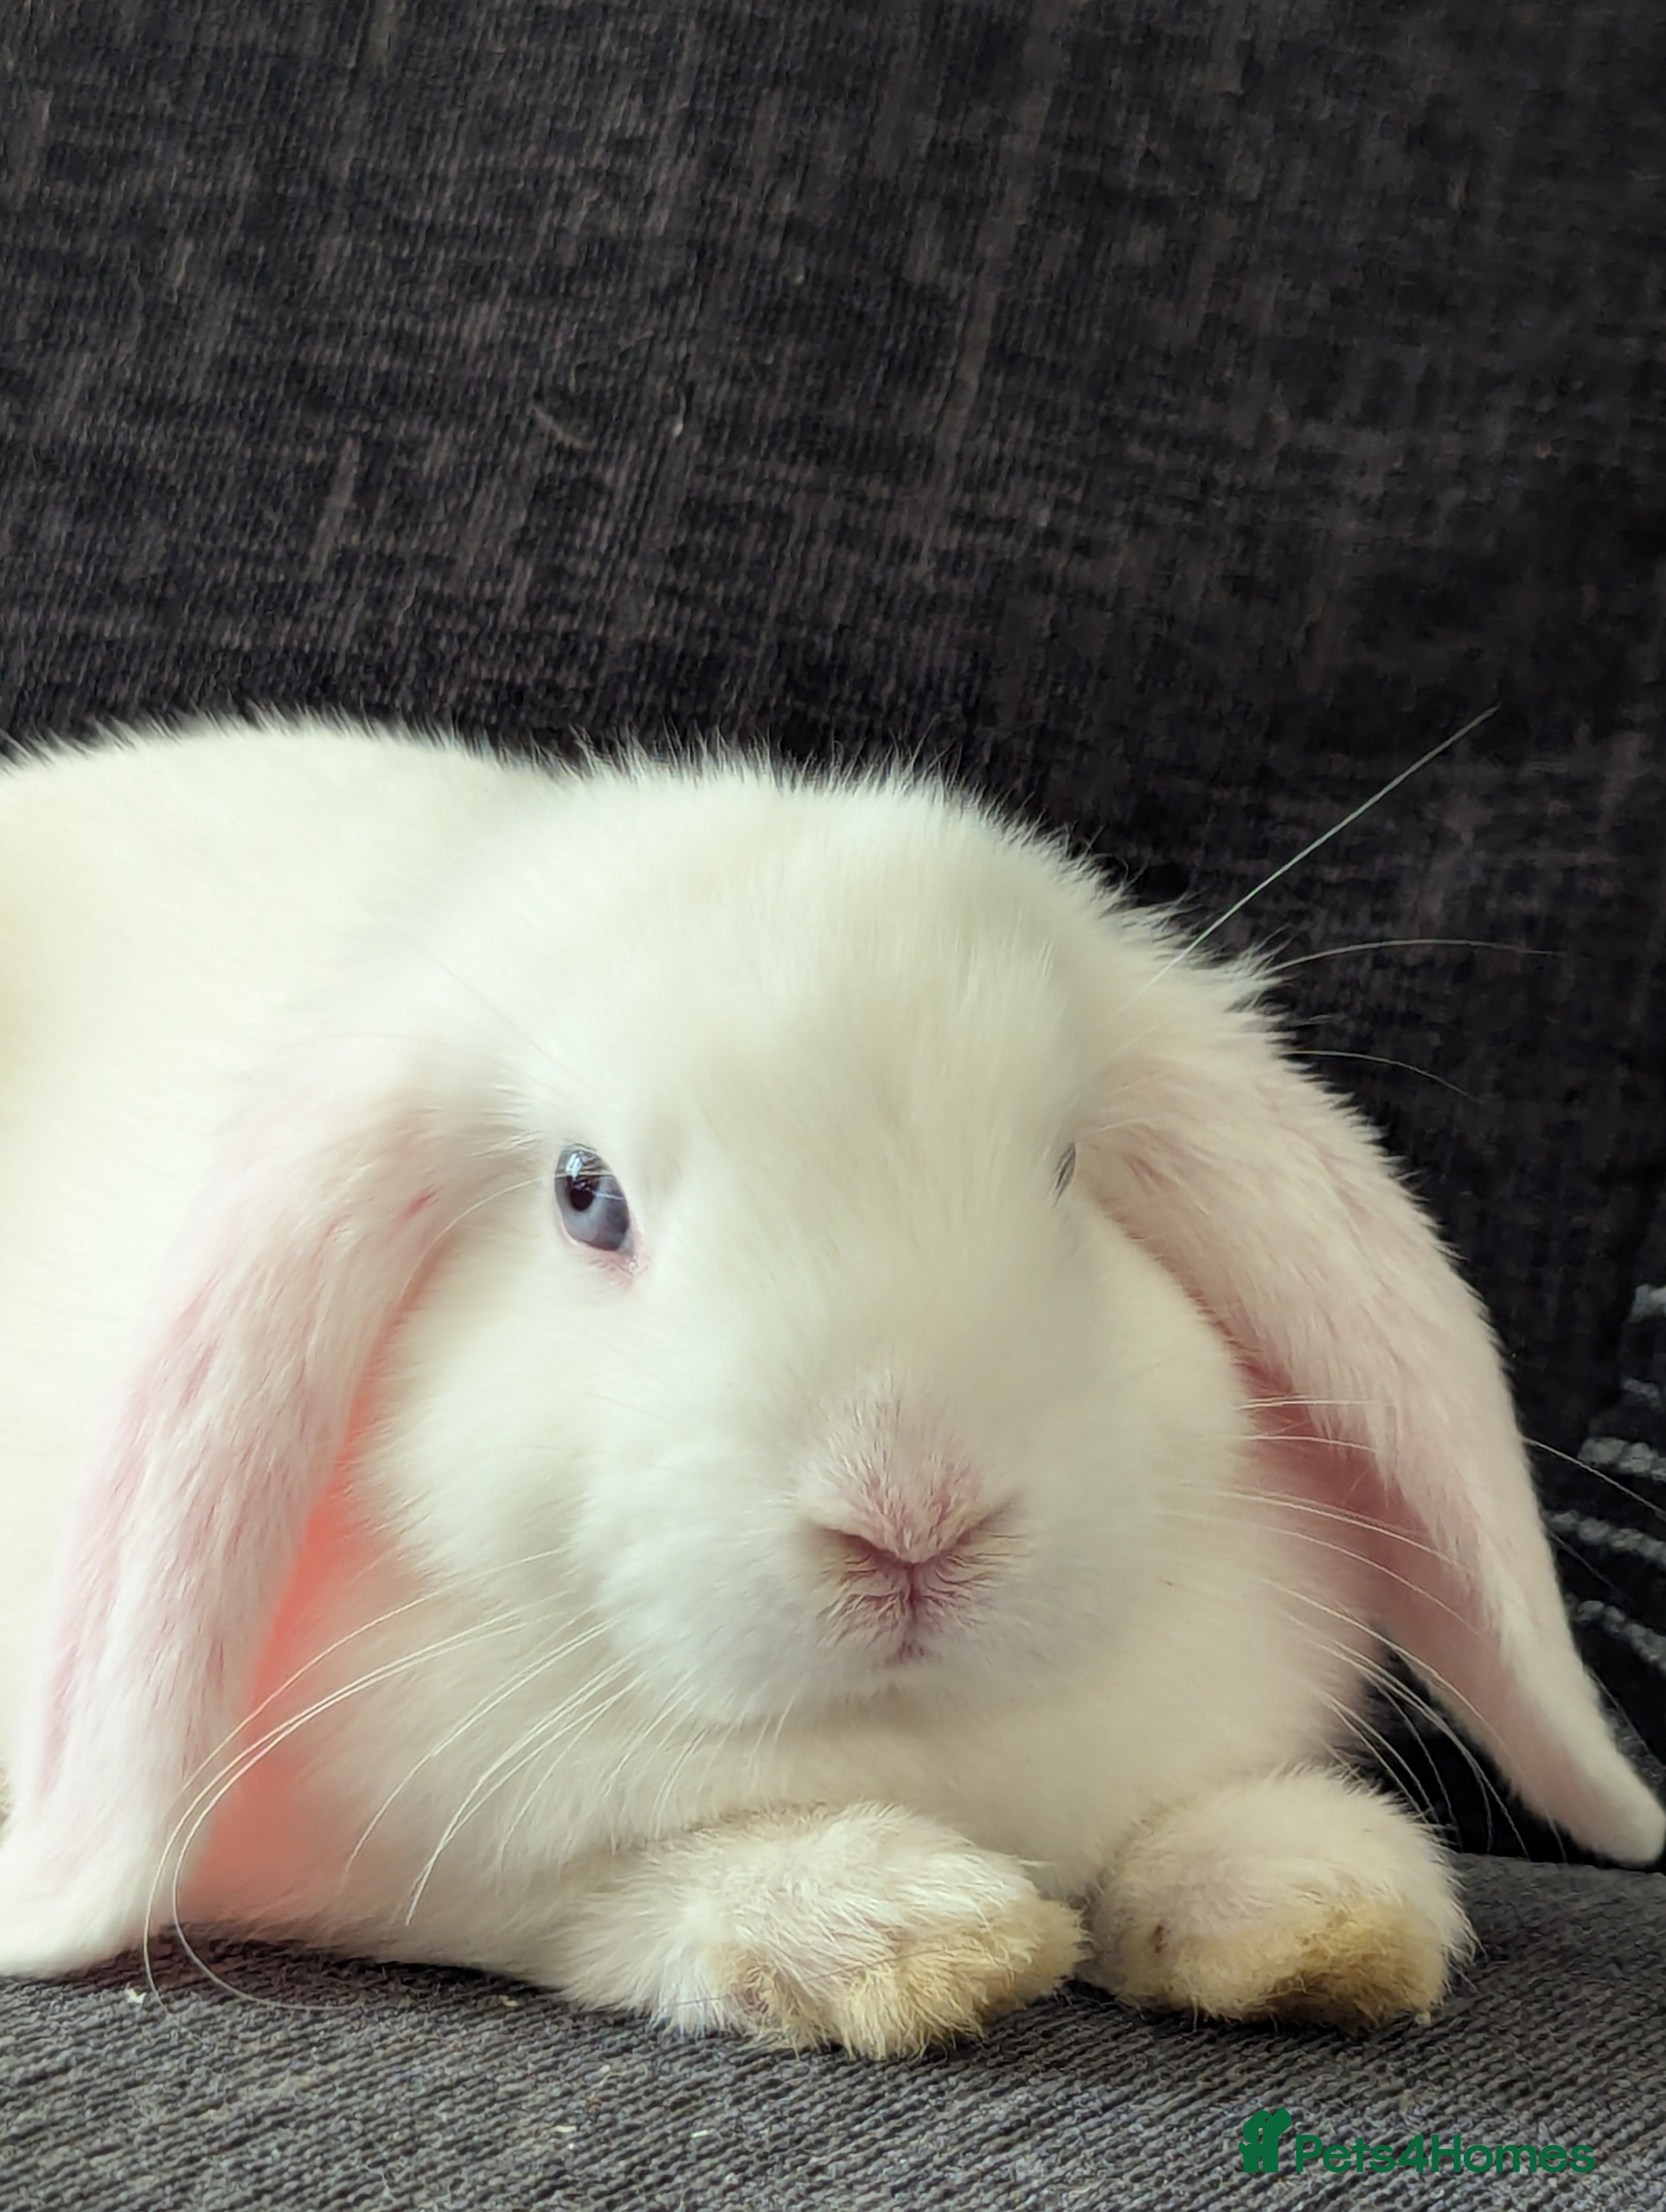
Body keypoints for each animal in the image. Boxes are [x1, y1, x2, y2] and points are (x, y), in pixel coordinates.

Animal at [0, 714, 1657, 2057]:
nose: (913, 1516)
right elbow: (597, 1895)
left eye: (1065, 1171)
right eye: (585, 1195)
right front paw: (902, 1929)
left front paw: (1316, 1900)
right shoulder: (404, 1856)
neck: (903, 1725)